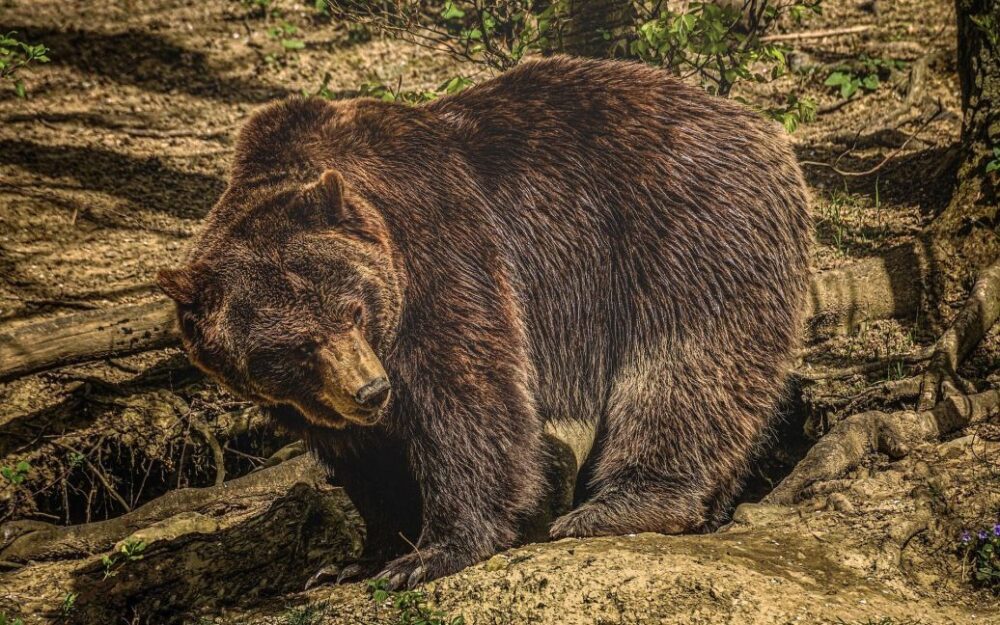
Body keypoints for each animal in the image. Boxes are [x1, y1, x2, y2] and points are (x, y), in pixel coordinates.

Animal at [156, 56, 812, 588]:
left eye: (354, 309)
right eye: (294, 346)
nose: (372, 390)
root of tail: (765, 128)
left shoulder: (439, 250)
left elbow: (468, 398)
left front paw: (433, 552)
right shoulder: (312, 400)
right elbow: (366, 458)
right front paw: (356, 558)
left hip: (688, 232)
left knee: (684, 369)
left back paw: (617, 506)